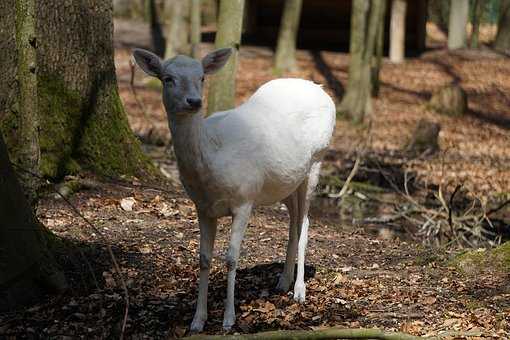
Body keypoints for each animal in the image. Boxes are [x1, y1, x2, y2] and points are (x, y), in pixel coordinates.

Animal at [133, 47, 336, 332]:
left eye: (202, 77)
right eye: (167, 78)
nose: (194, 101)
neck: (211, 164)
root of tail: (320, 88)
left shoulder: (244, 198)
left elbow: (231, 258)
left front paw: (229, 320)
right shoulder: (202, 206)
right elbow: (204, 257)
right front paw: (197, 321)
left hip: (318, 159)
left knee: (305, 223)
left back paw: (299, 291)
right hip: (285, 182)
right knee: (294, 223)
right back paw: (283, 282)